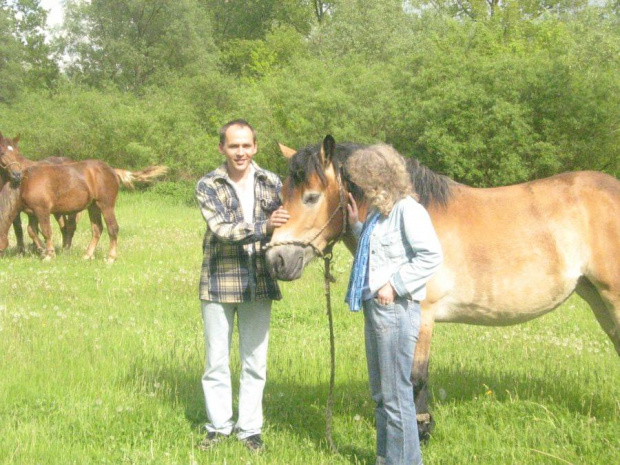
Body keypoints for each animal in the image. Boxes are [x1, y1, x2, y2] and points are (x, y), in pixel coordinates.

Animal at [0, 132, 168, 260]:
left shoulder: (42, 210)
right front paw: (42, 250)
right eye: (2, 152)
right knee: (97, 229)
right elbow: (32, 231)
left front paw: (49, 254)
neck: (25, 183)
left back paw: (111, 257)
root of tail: (112, 170)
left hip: (106, 206)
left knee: (112, 228)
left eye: (17, 153)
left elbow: (46, 231)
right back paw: (87, 255)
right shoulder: (32, 213)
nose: (16, 173)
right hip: (93, 207)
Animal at [266, 135, 620, 438]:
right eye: (282, 195)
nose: (276, 260)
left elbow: (414, 376)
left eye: (311, 197)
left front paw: (420, 430)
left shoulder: (421, 315)